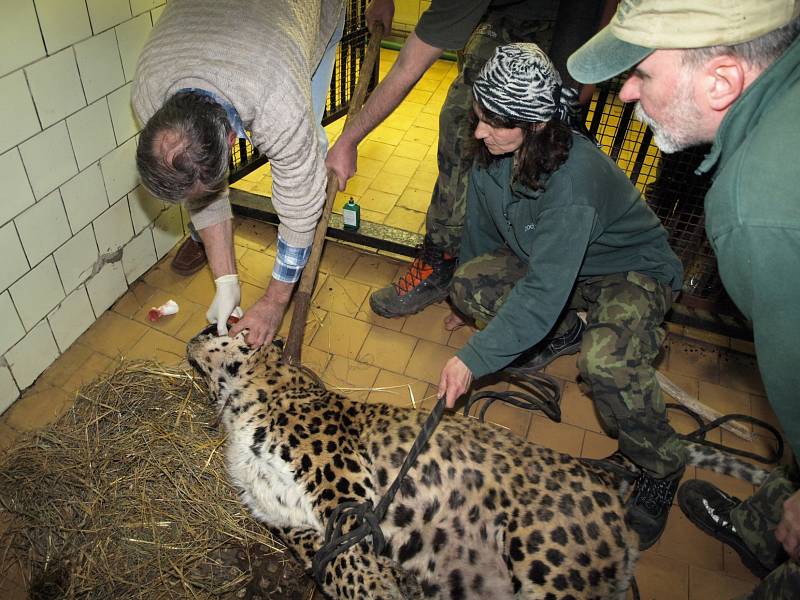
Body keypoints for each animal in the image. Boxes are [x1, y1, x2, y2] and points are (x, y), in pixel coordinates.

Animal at [186, 328, 768, 600]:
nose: (205, 326)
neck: (241, 399)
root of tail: (603, 473)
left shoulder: (348, 496)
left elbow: (359, 567)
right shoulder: (299, 526)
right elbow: (343, 570)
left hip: (552, 570)